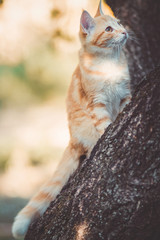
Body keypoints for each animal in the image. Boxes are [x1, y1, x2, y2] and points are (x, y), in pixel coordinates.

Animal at [12, 0, 130, 238]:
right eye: (109, 29)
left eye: (119, 23)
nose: (124, 32)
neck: (110, 63)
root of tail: (72, 140)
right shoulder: (97, 103)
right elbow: (105, 125)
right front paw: (110, 132)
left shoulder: (124, 94)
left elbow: (125, 106)